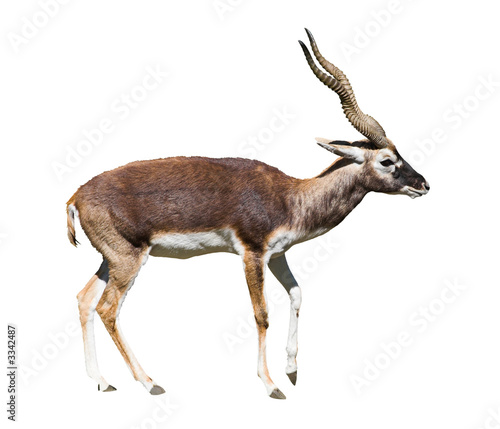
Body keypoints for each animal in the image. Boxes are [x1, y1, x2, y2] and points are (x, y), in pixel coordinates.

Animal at [66, 29, 430, 398]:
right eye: (387, 160)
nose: (424, 184)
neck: (290, 197)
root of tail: (77, 195)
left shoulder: (277, 254)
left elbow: (297, 295)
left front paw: (292, 371)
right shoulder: (252, 254)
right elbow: (262, 314)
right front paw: (271, 385)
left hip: (111, 260)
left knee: (84, 300)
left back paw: (102, 381)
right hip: (128, 260)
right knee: (107, 308)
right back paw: (150, 382)